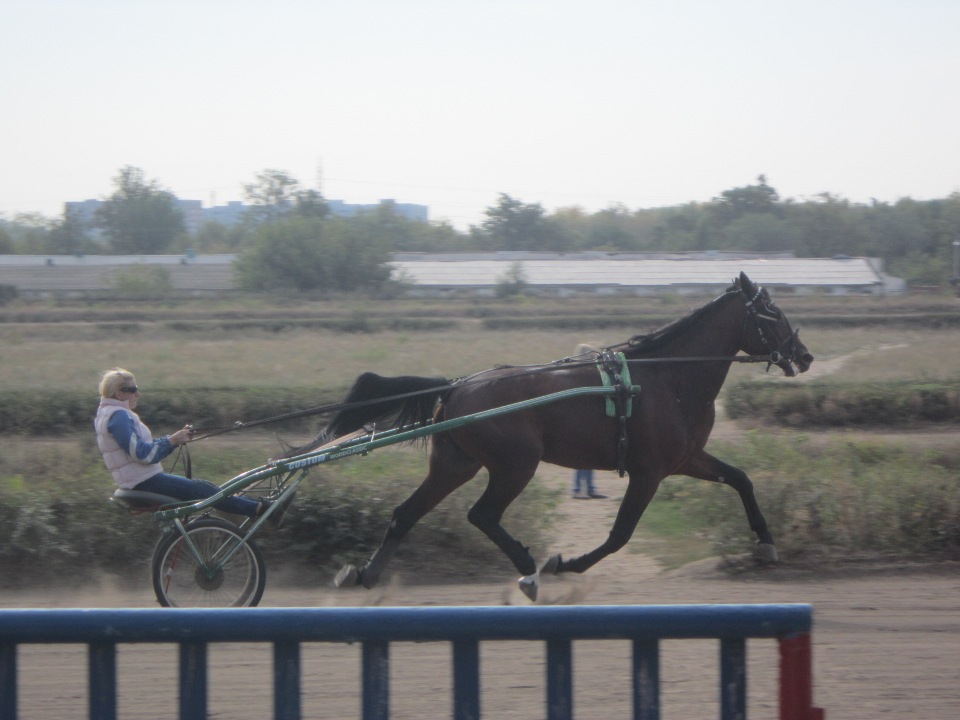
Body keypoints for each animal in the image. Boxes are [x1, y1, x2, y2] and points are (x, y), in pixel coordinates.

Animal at [308, 272, 808, 600]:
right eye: (773, 312)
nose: (804, 355)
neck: (666, 378)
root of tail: (456, 386)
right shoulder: (649, 471)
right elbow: (620, 534)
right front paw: (563, 563)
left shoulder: (685, 459)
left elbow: (741, 478)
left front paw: (766, 543)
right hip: (515, 463)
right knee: (482, 514)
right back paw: (529, 570)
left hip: (456, 464)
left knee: (405, 513)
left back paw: (365, 574)